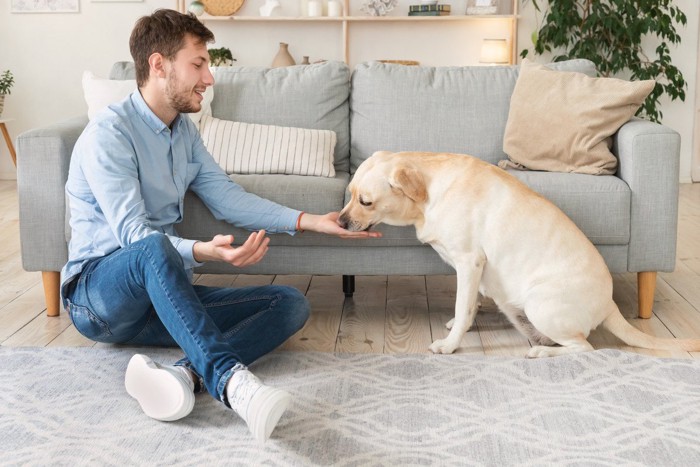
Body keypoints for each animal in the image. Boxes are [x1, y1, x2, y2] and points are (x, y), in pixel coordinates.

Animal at [340, 151, 700, 358]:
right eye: (350, 194)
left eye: (366, 202)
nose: (341, 222)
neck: (431, 191)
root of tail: (609, 303)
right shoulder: (472, 271)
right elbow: (469, 305)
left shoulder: (469, 262)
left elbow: (463, 304)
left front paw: (451, 344)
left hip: (540, 305)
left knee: (585, 347)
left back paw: (541, 352)